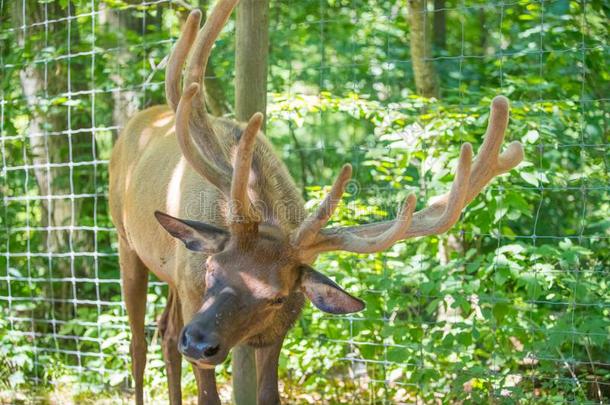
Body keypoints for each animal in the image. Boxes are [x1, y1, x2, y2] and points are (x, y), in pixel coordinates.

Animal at [107, 0, 520, 404]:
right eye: (212, 268)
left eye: (276, 297)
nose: (200, 343)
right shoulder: (193, 291)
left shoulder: (278, 328)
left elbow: (269, 394)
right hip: (127, 242)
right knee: (140, 343)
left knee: (166, 334)